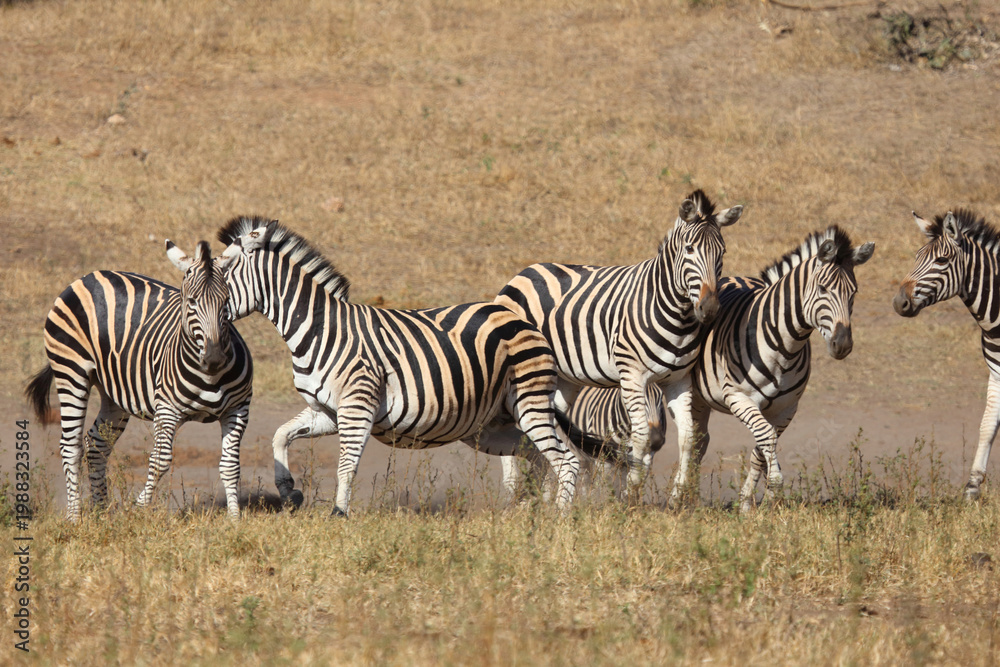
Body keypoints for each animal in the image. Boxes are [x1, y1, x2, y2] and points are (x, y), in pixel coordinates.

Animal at [24, 241, 253, 521]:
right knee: (71, 446)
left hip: (114, 392)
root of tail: (88, 277)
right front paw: (138, 509)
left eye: (226, 301)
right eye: (191, 302)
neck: (210, 376)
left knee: (97, 443)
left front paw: (234, 519)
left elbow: (230, 465)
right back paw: (75, 517)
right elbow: (160, 461)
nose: (214, 358)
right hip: (71, 372)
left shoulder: (238, 408)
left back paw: (101, 512)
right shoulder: (167, 410)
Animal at [215, 216, 580, 516]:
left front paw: (339, 514)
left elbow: (346, 466)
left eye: (222, 270)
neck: (320, 329)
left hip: (529, 402)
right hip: (491, 424)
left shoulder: (357, 407)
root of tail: (522, 320)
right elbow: (281, 435)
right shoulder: (326, 412)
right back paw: (530, 514)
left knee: (566, 460)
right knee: (537, 456)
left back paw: (559, 522)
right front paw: (289, 491)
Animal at [494, 189, 742, 496]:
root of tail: (525, 271)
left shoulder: (679, 380)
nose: (709, 309)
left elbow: (687, 437)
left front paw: (678, 494)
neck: (677, 316)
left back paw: (545, 493)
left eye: (722, 253)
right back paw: (514, 488)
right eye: (689, 250)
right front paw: (632, 489)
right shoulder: (632, 376)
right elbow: (641, 438)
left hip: (563, 378)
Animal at [562, 226, 874, 512]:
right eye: (823, 289)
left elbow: (761, 448)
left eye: (854, 292)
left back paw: (690, 498)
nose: (843, 345)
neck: (785, 346)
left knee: (700, 441)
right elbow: (765, 438)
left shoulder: (786, 409)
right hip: (696, 395)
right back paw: (681, 498)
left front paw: (750, 503)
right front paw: (773, 490)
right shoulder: (739, 397)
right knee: (697, 442)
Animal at [893, 209, 1000, 501]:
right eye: (916, 256)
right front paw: (972, 487)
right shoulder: (996, 372)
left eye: (942, 259)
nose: (899, 303)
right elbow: (987, 425)